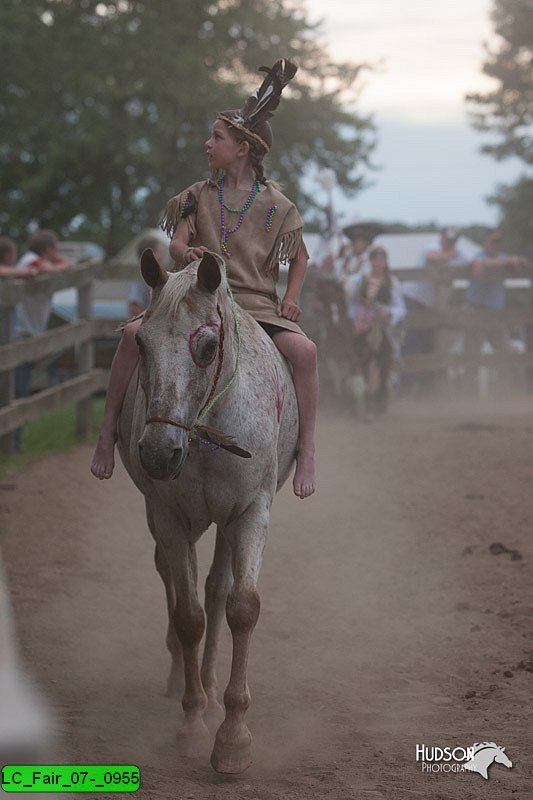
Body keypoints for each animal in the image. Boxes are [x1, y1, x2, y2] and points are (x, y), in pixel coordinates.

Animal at [117, 250, 300, 776]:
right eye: (140, 342)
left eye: (208, 345)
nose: (159, 452)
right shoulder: (169, 518)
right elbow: (188, 615)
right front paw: (192, 722)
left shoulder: (249, 513)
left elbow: (240, 607)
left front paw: (233, 737)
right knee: (173, 581)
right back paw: (183, 675)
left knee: (217, 588)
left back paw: (212, 682)